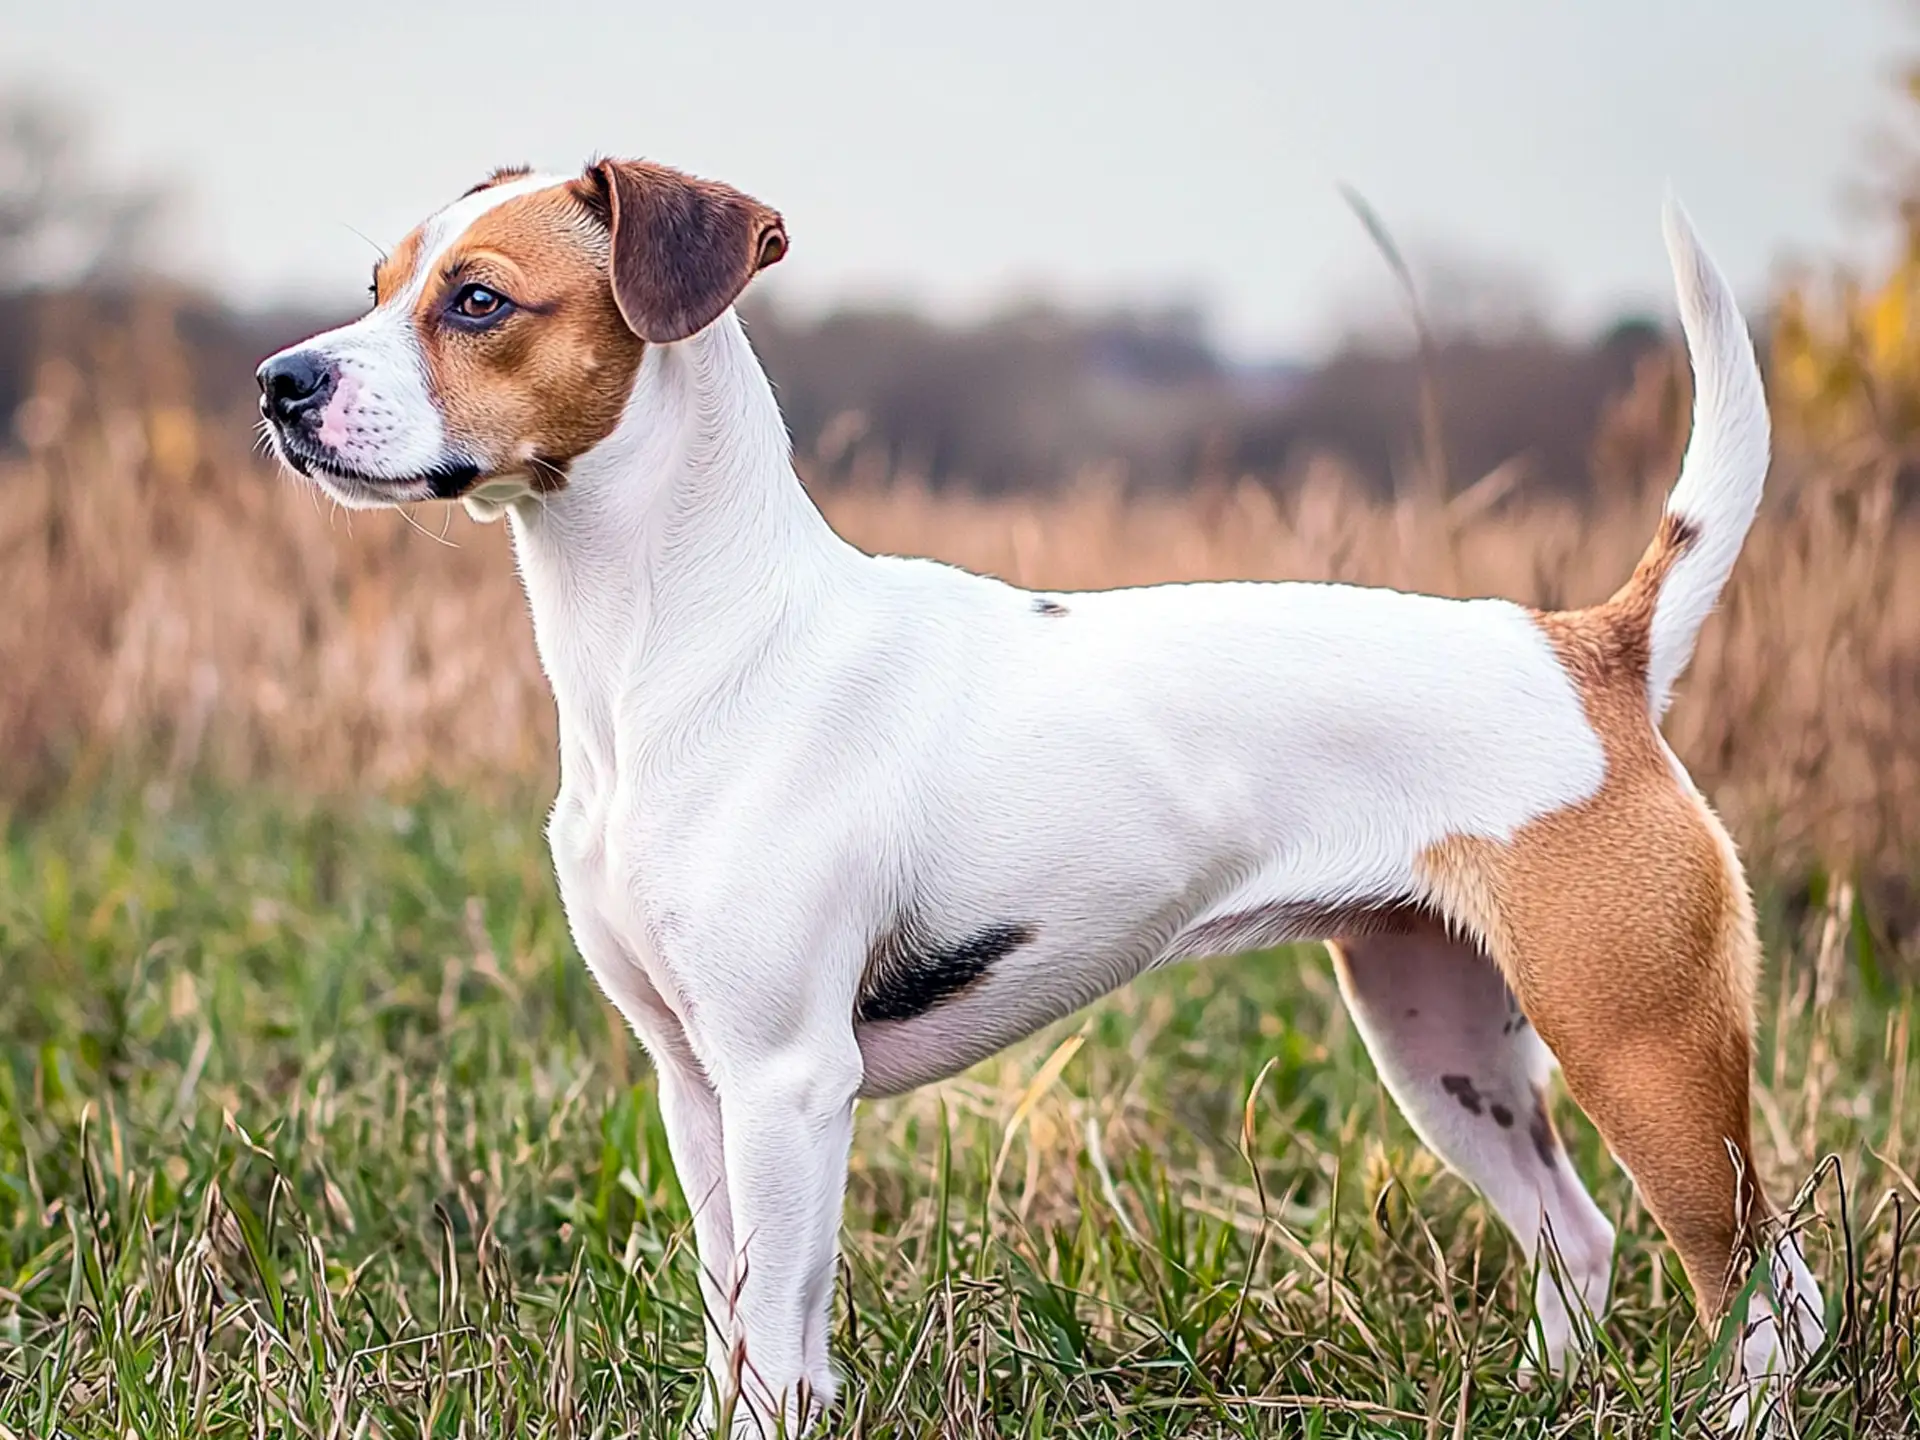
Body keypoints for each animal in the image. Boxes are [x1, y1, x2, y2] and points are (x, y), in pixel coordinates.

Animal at [259, 157, 1827, 1436]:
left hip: (1641, 1051)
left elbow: (777, 1338)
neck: (685, 643)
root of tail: (1591, 649)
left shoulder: (785, 1083)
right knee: (1578, 1236)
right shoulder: (698, 1090)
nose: (279, 383)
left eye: (476, 300)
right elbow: (740, 1323)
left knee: (1771, 1292)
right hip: (1442, 1041)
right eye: (376, 289)